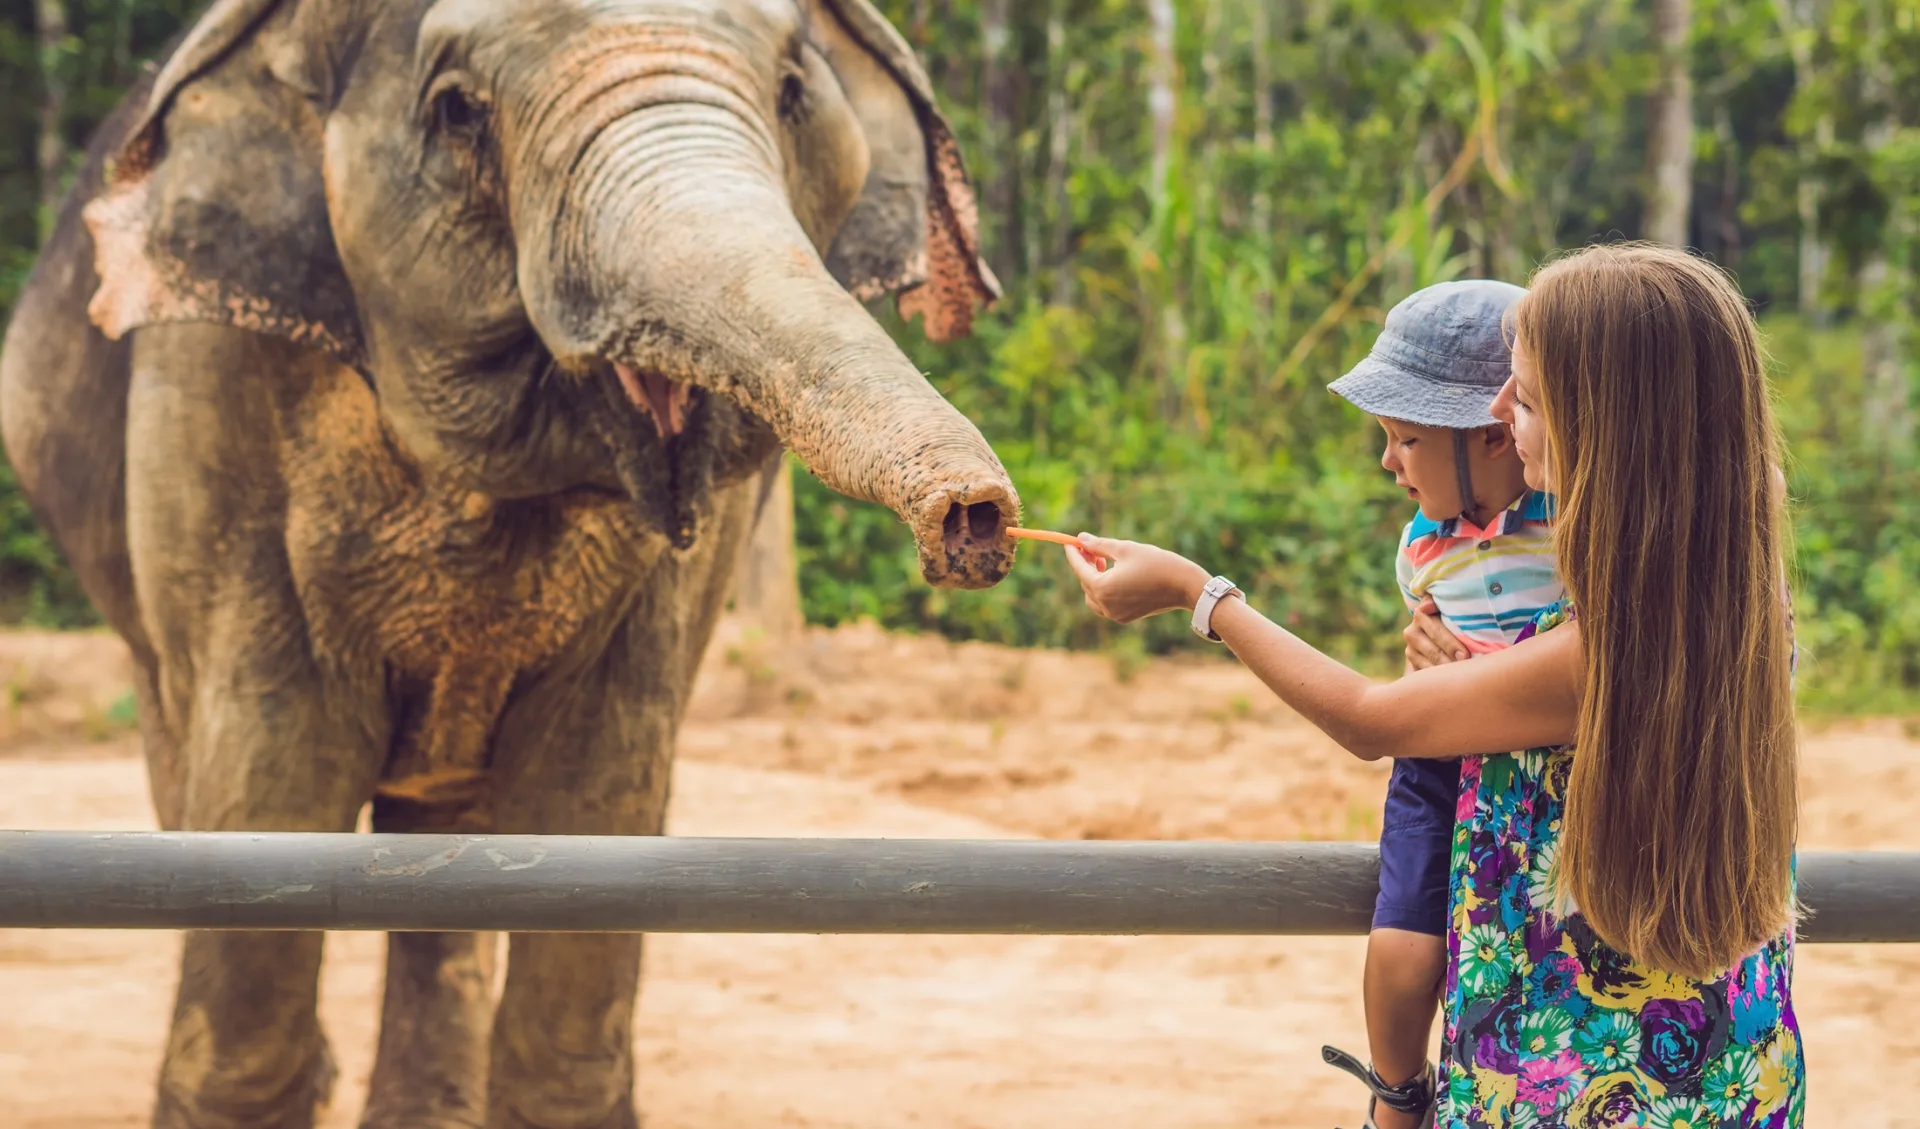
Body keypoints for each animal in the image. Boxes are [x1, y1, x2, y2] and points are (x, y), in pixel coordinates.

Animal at [0, 0, 1021, 1121]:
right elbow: (273, 781)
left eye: (794, 90)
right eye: (459, 112)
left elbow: (595, 792)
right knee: (190, 765)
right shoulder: (215, 398)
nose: (974, 520)